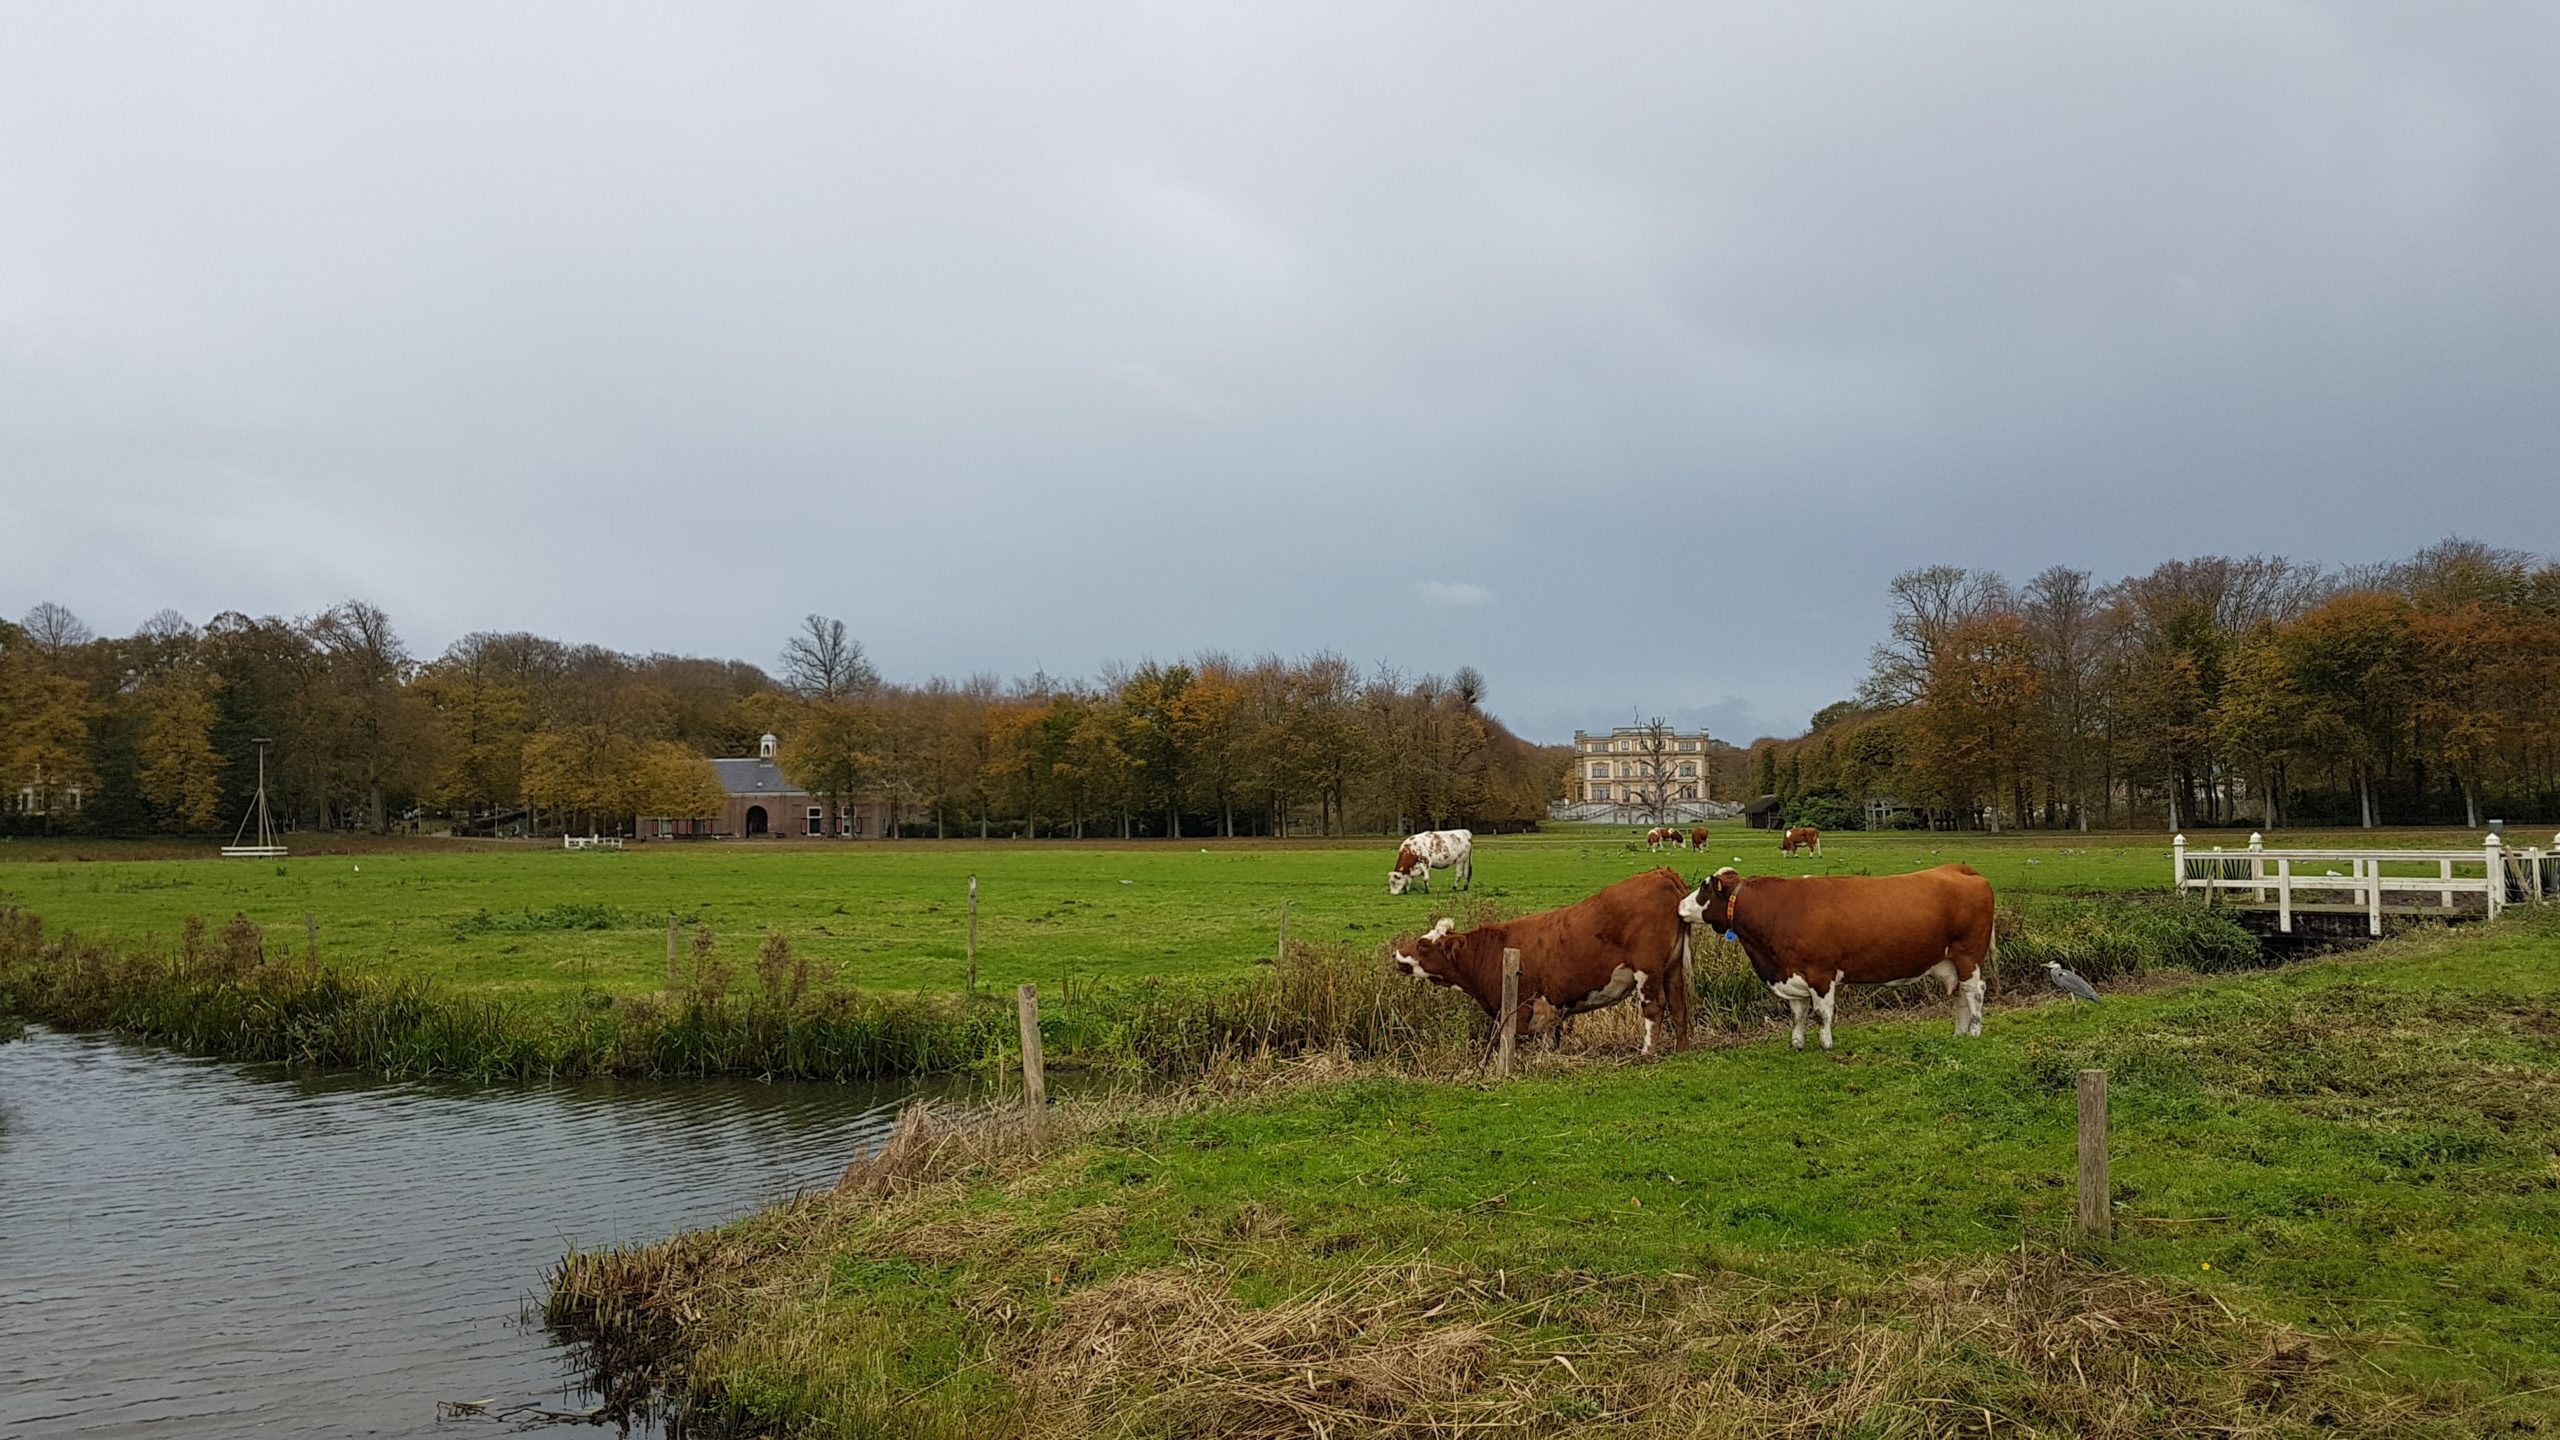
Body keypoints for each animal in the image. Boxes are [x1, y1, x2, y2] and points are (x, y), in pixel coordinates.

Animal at [1392, 860, 1689, 1055]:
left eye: (1423, 944)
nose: (1397, 954)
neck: (1489, 952)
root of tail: (1660, 873)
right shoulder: (1550, 1010)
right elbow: (1548, 1040)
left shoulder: (1520, 1009)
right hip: (1672, 967)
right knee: (1678, 1004)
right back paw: (1681, 1049)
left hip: (1647, 969)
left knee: (1654, 1007)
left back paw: (1647, 1053)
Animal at [1679, 855, 1996, 1050]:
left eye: (1704, 888)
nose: (1680, 905)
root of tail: (1958, 868)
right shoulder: (1792, 974)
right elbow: (1798, 1014)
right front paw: (1797, 1044)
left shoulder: (1821, 973)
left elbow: (1822, 1013)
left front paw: (1826, 1044)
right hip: (1952, 961)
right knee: (1960, 994)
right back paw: (1959, 1034)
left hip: (1969, 956)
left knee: (1975, 992)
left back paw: (1975, 1032)